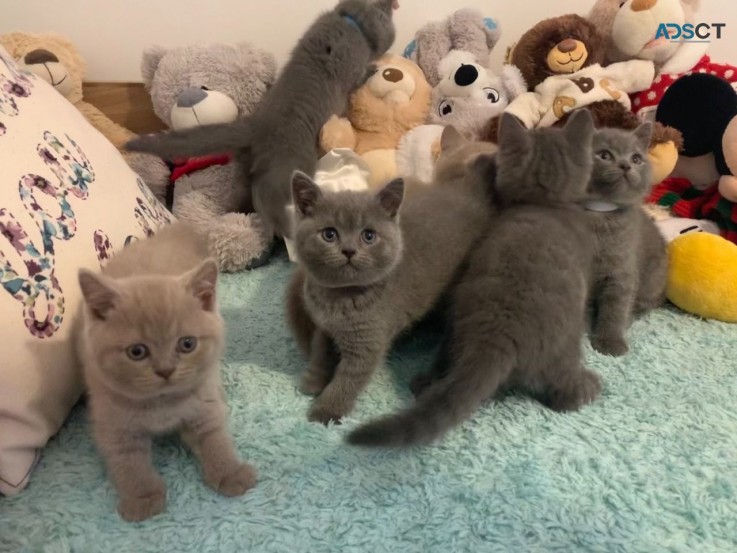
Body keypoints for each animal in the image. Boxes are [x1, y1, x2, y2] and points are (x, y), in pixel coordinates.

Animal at [125, 0, 396, 242]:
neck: (348, 21)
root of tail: (255, 124)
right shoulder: (353, 72)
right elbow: (359, 78)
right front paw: (372, 68)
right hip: (287, 168)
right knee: (270, 202)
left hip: (242, 174)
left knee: (239, 198)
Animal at [284, 128, 498, 422]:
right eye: (329, 234)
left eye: (368, 236)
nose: (348, 250)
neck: (337, 299)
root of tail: (469, 191)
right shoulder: (322, 325)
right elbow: (319, 351)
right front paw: (313, 380)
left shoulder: (367, 344)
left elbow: (348, 379)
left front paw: (324, 412)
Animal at [584, 124, 668, 356]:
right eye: (604, 155)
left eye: (636, 158)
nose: (626, 165)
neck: (599, 213)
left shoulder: (621, 270)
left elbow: (616, 308)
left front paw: (610, 342)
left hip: (653, 277)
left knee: (644, 303)